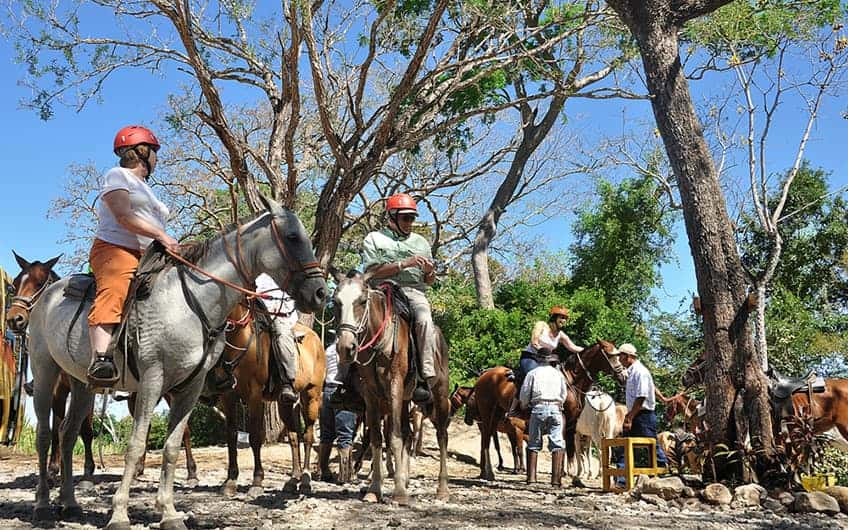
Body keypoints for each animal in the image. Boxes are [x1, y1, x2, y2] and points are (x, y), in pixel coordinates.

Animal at [210, 300, 326, 498]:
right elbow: (232, 436)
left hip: (312, 396)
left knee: (308, 436)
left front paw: (257, 482)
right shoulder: (228, 396)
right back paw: (293, 479)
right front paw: (230, 481)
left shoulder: (255, 396)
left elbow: (255, 437)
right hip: (285, 403)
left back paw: (305, 480)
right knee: (293, 436)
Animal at [332, 270, 450, 502]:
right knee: (407, 433)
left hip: (439, 395)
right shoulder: (371, 395)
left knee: (441, 436)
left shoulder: (394, 387)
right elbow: (377, 438)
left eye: (362, 301)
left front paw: (399, 494)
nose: (346, 347)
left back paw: (442, 489)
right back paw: (403, 478)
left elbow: (393, 438)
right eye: (336, 302)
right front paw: (374, 489)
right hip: (405, 400)